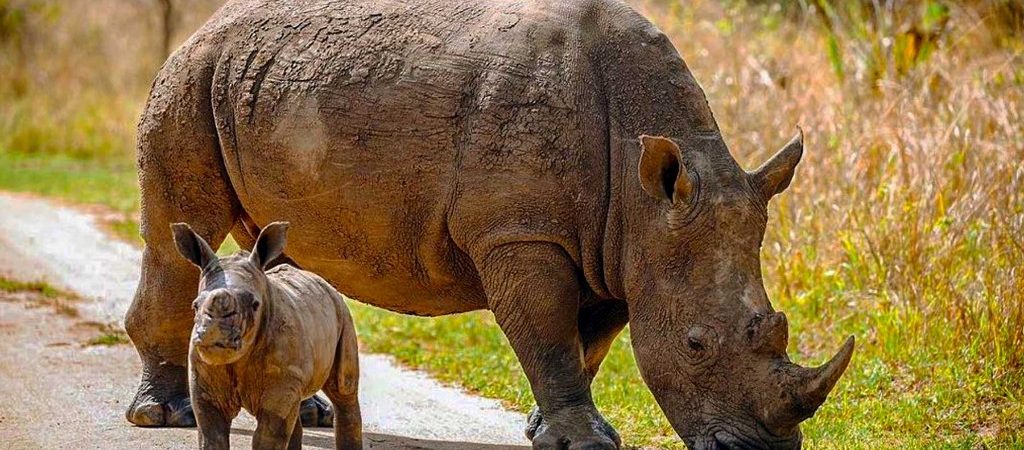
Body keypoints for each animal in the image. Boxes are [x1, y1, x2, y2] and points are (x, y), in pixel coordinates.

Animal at [124, 0, 854, 448]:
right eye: (697, 344)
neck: (645, 190)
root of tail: (209, 23)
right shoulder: (522, 232)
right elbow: (549, 334)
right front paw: (582, 441)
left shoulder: (620, 244)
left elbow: (590, 342)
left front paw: (542, 428)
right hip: (190, 78)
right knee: (177, 234)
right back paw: (162, 416)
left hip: (256, 85)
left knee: (266, 240)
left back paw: (306, 412)